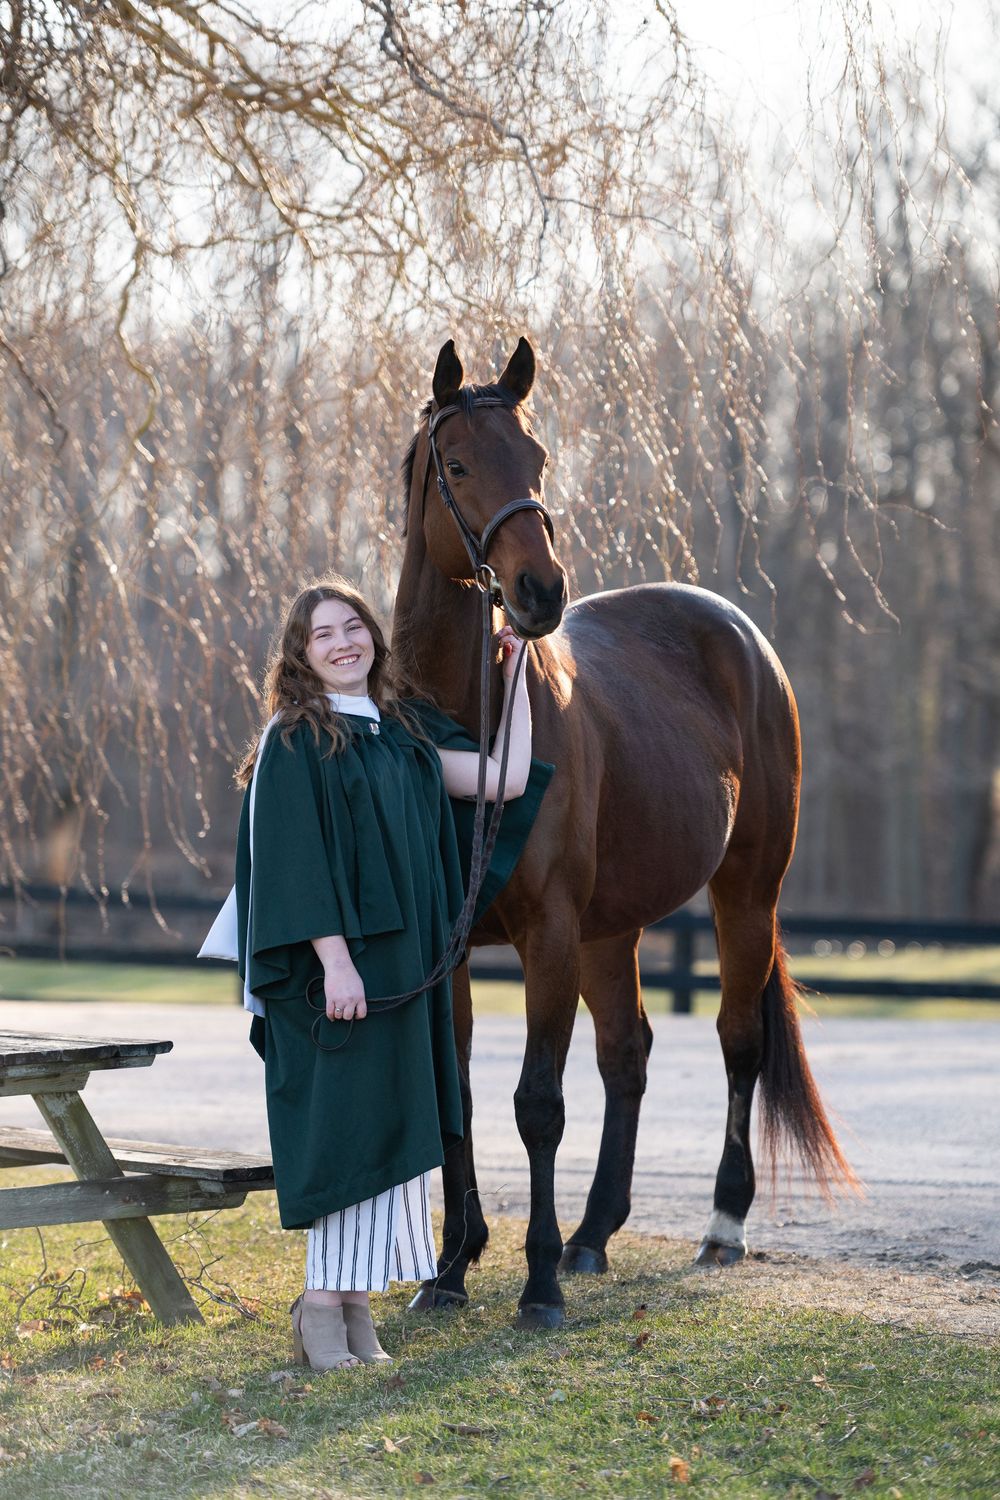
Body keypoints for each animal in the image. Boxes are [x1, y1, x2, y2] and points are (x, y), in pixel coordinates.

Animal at [393, 336, 857, 1328]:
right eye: (459, 465)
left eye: (536, 458)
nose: (539, 591)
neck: (470, 729)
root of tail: (743, 636)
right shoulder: (451, 949)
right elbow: (459, 1101)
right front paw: (449, 1270)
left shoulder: (549, 937)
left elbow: (537, 1103)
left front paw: (533, 1285)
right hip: (614, 928)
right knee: (629, 1054)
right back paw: (593, 1234)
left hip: (743, 894)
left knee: (736, 1041)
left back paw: (720, 1226)